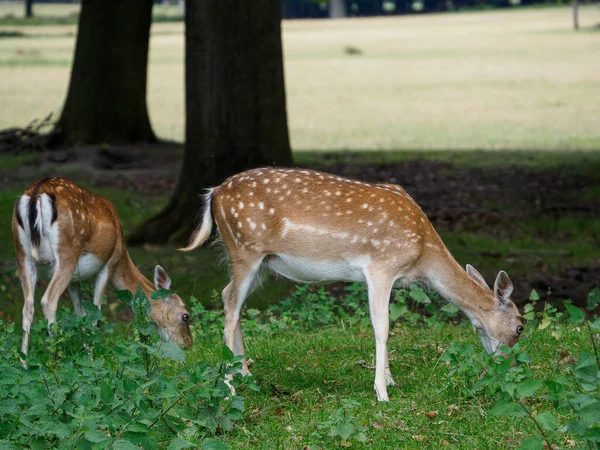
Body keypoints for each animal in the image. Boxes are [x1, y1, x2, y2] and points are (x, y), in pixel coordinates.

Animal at [12, 178, 192, 356]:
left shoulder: (74, 280)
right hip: (67, 254)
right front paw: (93, 357)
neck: (122, 252)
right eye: (186, 316)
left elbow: (81, 315)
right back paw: (56, 355)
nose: (188, 346)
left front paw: (86, 352)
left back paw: (24, 359)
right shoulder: (108, 264)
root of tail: (38, 192)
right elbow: (95, 314)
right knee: (48, 301)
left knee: (27, 306)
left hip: (23, 255)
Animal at [180, 168, 524, 400]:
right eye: (521, 327)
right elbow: (382, 326)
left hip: (260, 262)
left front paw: (389, 379)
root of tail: (214, 193)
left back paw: (245, 373)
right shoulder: (381, 266)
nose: (509, 368)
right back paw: (228, 386)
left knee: (231, 299)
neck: (422, 254)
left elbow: (385, 324)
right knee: (229, 304)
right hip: (244, 249)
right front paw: (382, 392)